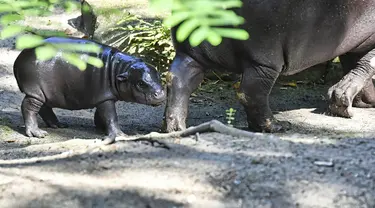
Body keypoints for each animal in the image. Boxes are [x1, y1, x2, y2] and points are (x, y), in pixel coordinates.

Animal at [164, 0, 375, 133]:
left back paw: (175, 128)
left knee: (178, 80)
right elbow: (366, 65)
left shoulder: (354, 45)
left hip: (190, 53)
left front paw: (359, 101)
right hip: (264, 61)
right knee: (251, 93)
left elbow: (356, 67)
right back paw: (276, 126)